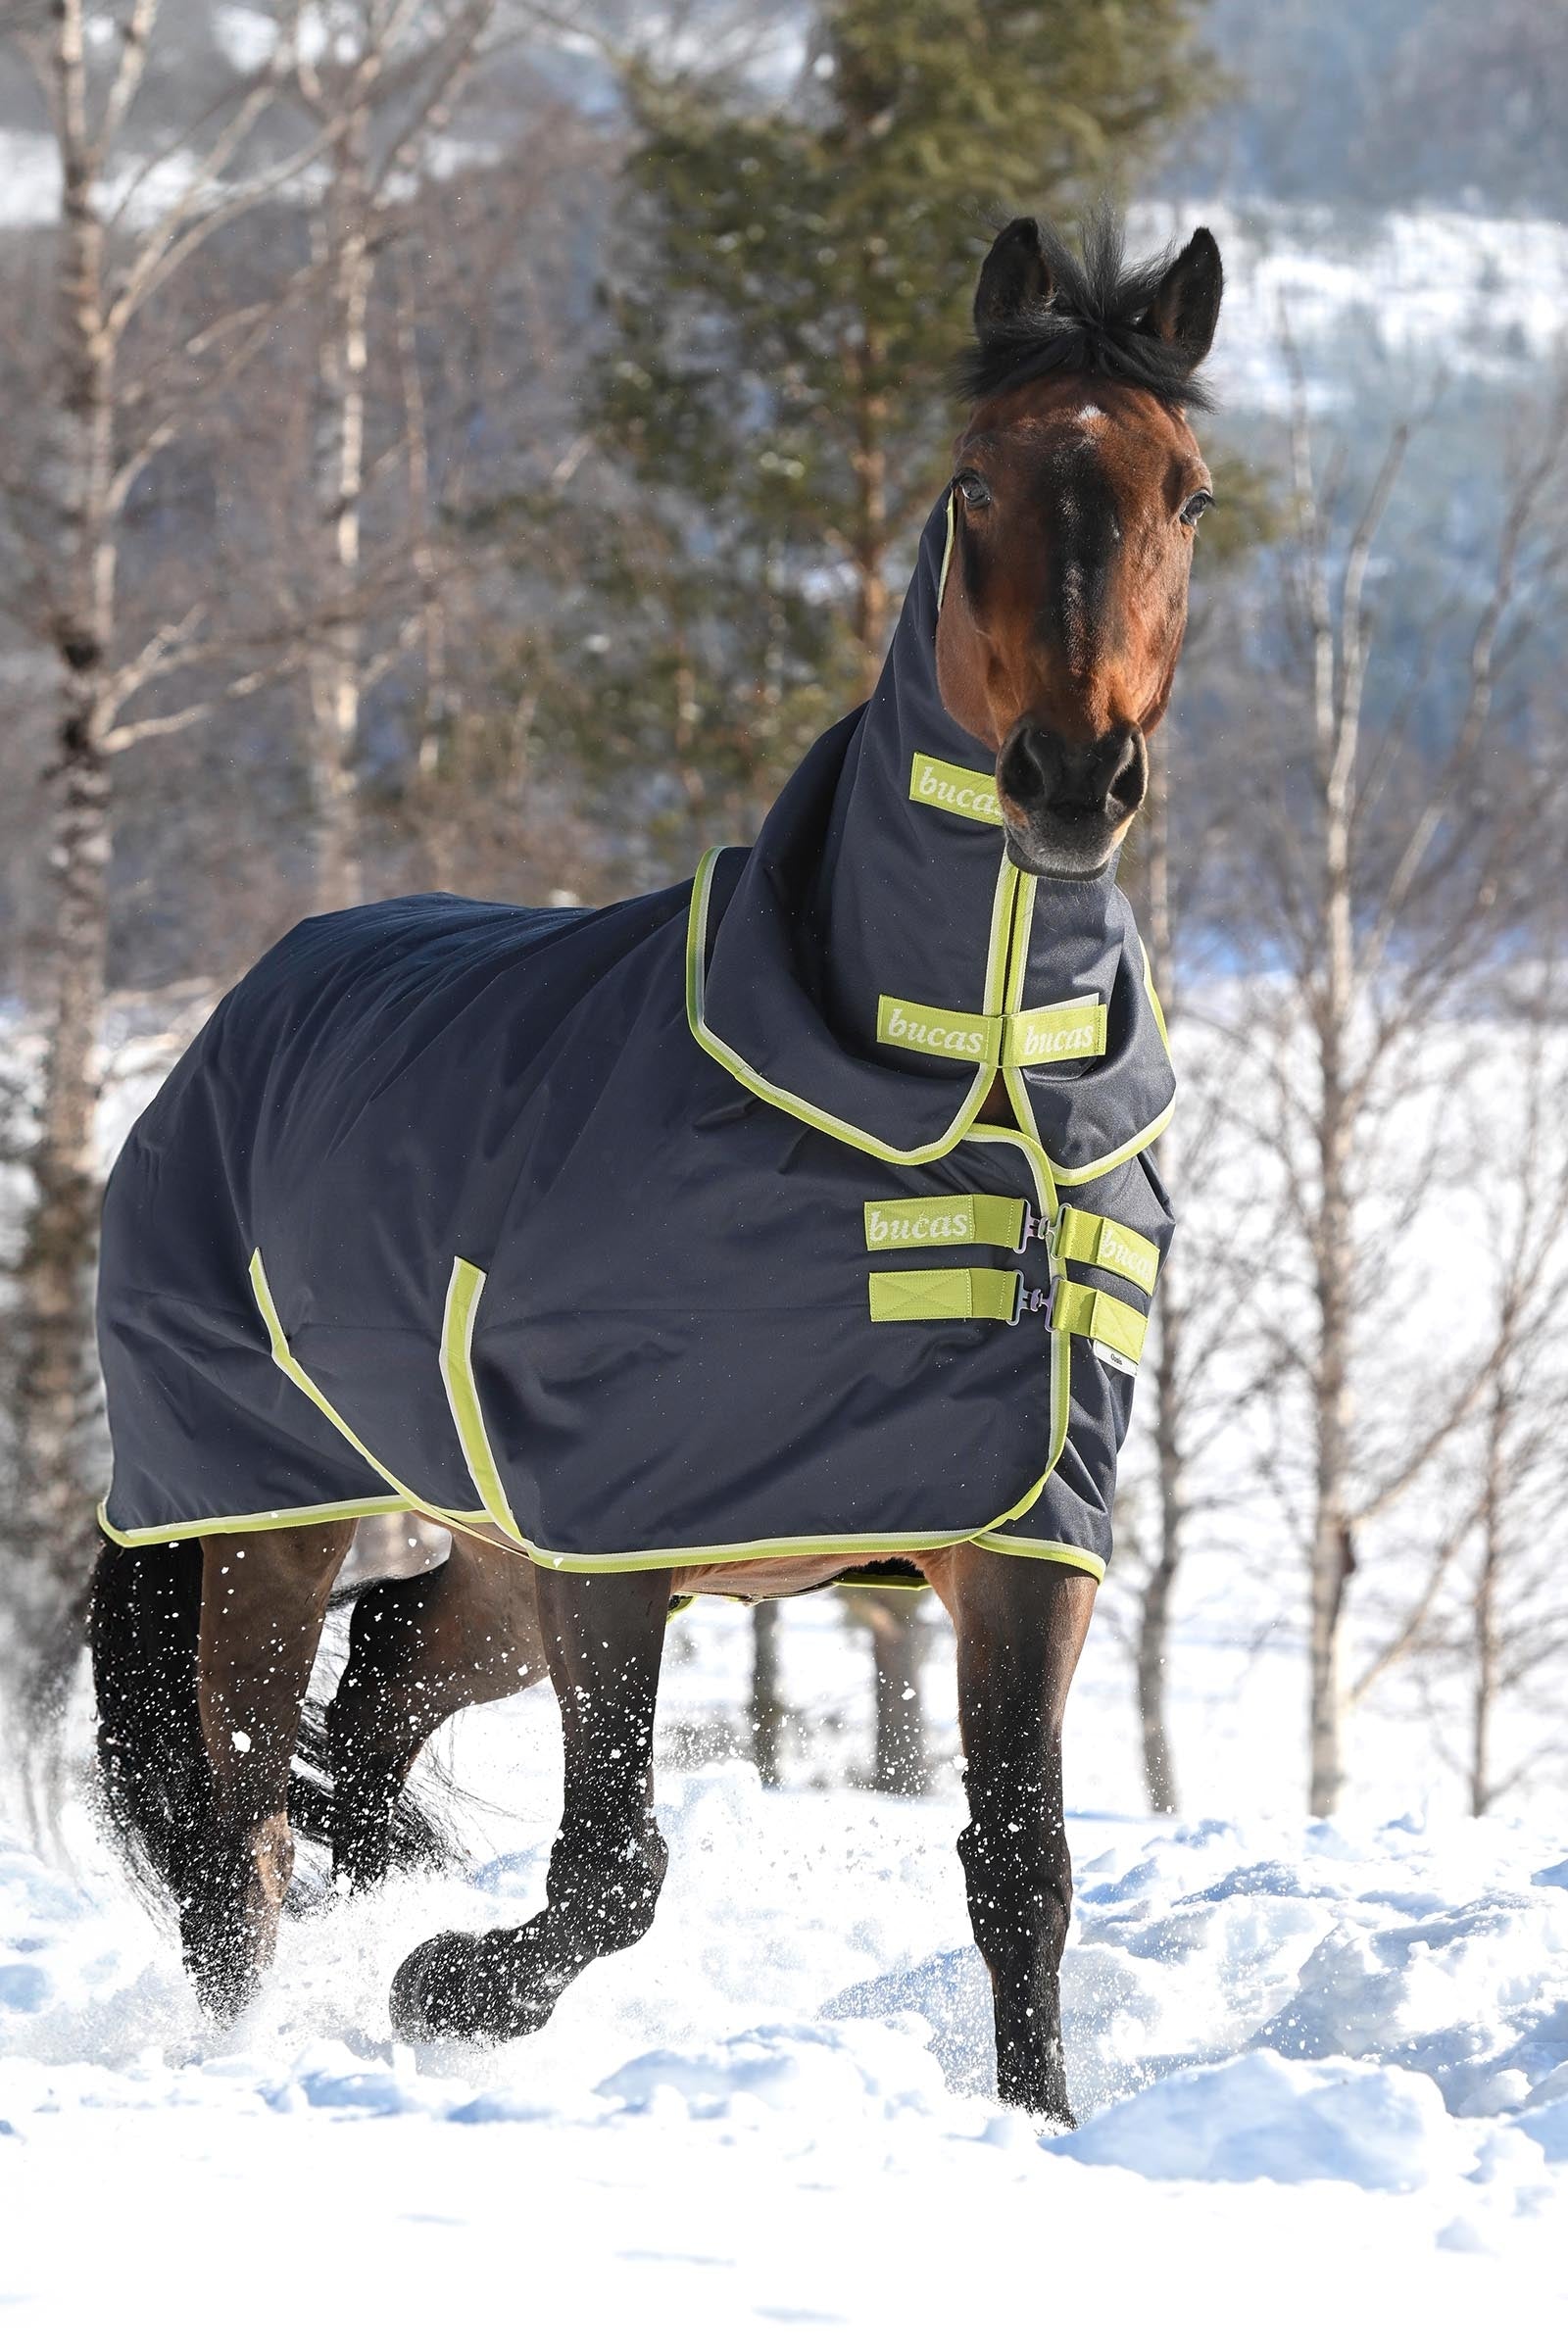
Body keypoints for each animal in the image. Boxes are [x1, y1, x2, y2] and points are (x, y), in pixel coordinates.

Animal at [83, 212, 1221, 2126]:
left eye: (1187, 492)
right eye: (977, 481)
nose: (1071, 779)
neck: (945, 1079)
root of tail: (243, 1011)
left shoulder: (1018, 1539)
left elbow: (1023, 1869)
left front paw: (1040, 2128)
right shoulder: (616, 1535)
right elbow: (612, 1868)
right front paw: (450, 1991)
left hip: (488, 1551)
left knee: (375, 1698)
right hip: (265, 1512)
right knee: (241, 1825)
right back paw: (254, 2042)